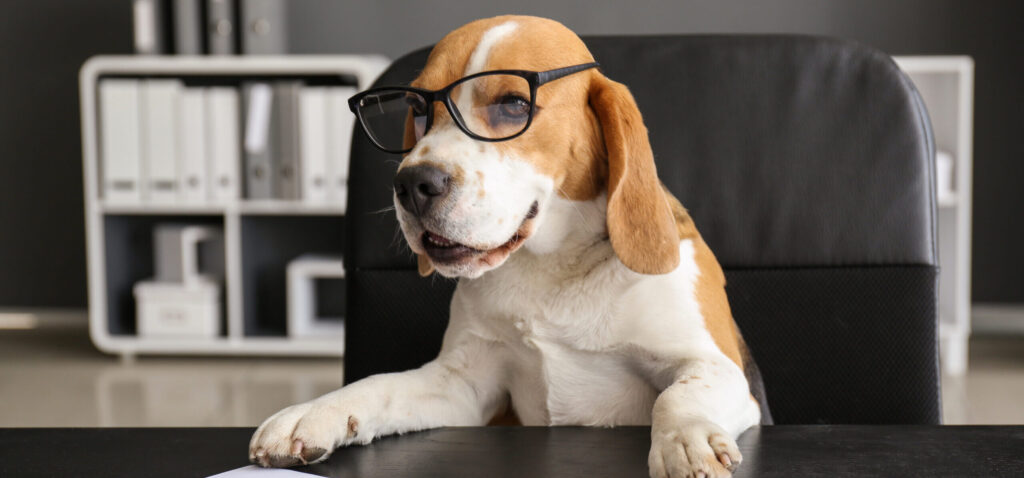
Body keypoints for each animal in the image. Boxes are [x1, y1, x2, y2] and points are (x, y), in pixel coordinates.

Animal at [251, 14, 770, 478]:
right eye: (419, 111)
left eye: (514, 105)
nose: (412, 184)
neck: (552, 269)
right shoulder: (463, 384)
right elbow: (378, 384)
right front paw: (313, 412)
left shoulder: (714, 365)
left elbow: (678, 394)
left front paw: (687, 439)